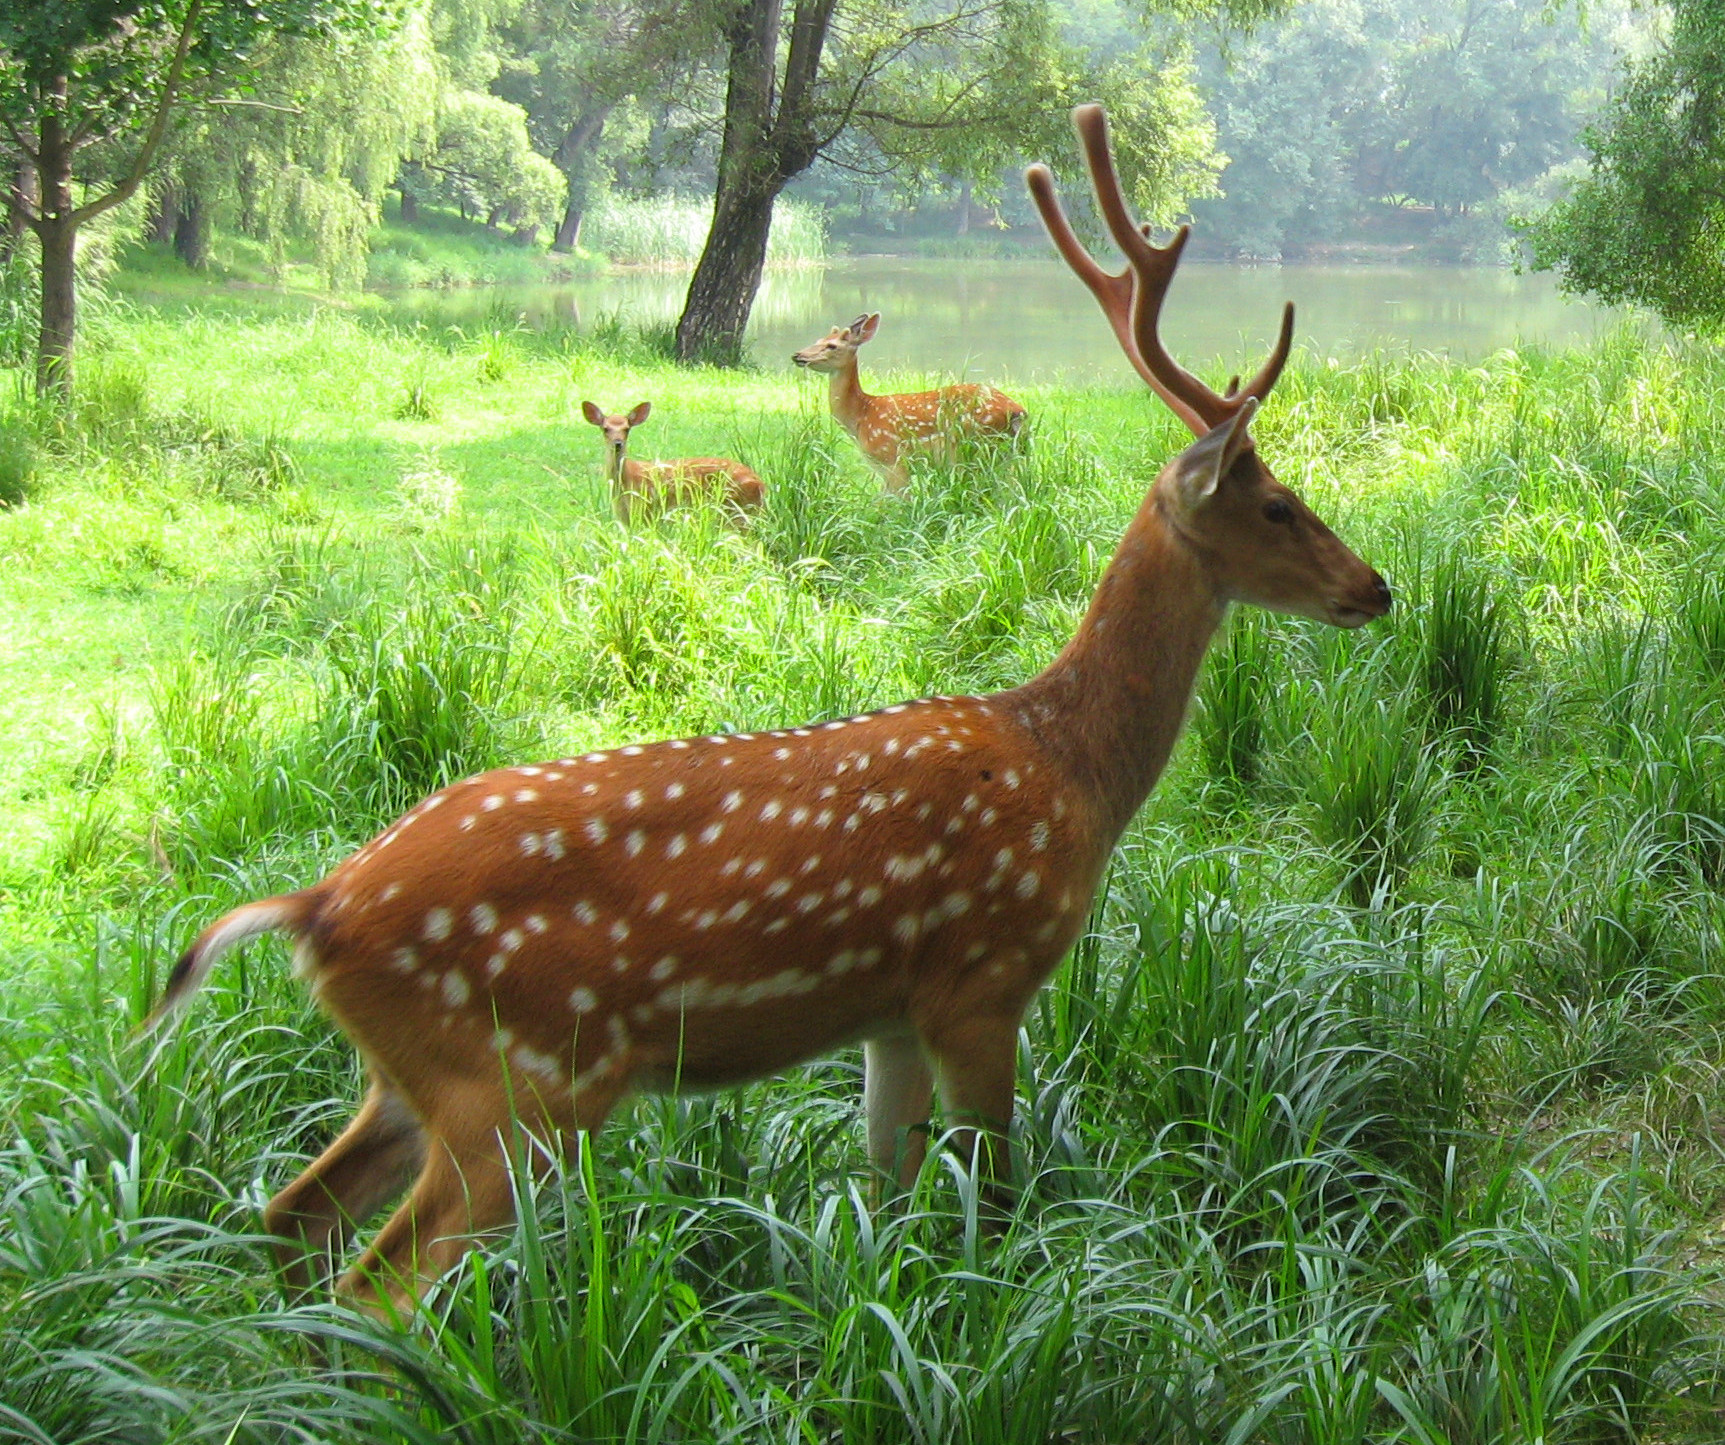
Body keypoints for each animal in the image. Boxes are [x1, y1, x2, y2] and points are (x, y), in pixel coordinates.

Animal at [581, 401, 765, 526]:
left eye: (627, 428)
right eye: (605, 428)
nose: (618, 443)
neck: (626, 482)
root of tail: (762, 485)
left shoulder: (645, 510)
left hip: (736, 511)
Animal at [792, 313, 1026, 491]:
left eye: (831, 346)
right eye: (817, 340)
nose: (797, 355)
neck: (861, 417)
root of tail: (1018, 411)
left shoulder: (893, 459)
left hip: (971, 447)